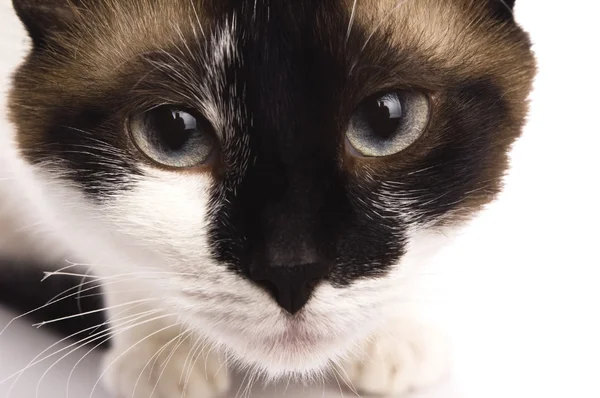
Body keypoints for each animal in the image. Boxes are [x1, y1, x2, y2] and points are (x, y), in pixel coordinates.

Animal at [0, 0, 536, 396]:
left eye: (387, 121)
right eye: (172, 134)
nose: (292, 271)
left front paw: (390, 339)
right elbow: (104, 250)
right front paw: (162, 359)